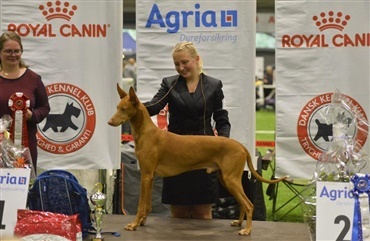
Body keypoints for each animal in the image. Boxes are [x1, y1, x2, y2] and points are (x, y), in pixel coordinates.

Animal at [107, 84, 286, 235]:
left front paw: (134, 224)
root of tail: (241, 146)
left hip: (231, 179)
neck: (145, 133)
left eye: (124, 109)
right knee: (243, 203)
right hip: (227, 179)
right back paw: (239, 223)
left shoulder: (145, 175)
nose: (109, 121)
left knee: (249, 205)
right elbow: (148, 205)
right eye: (116, 108)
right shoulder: (149, 176)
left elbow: (140, 205)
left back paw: (247, 230)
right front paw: (142, 222)